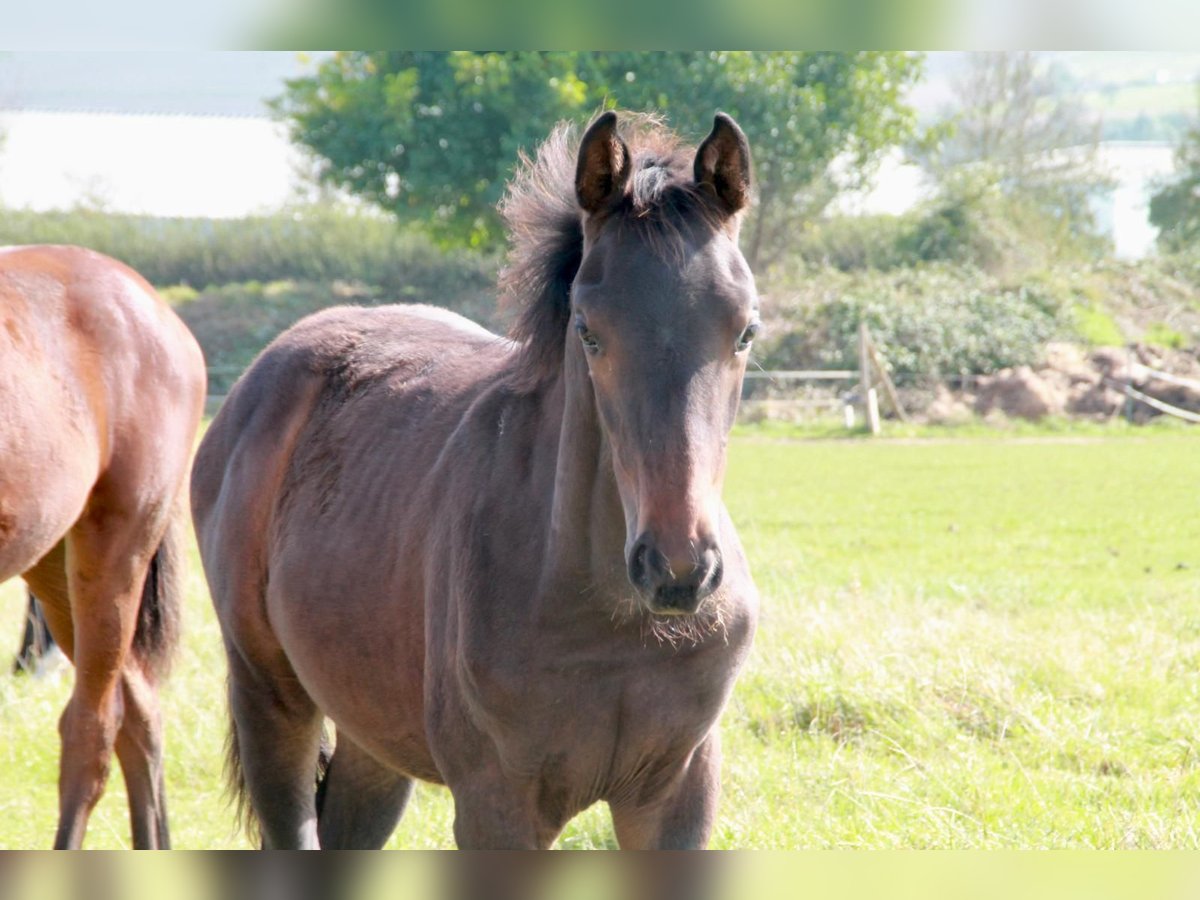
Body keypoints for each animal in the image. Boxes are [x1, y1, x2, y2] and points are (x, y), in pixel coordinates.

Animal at [194, 109, 758, 849]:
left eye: (745, 332)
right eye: (588, 330)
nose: (678, 568)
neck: (611, 615)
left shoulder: (678, 795)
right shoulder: (497, 804)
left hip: (371, 729)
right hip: (269, 696)